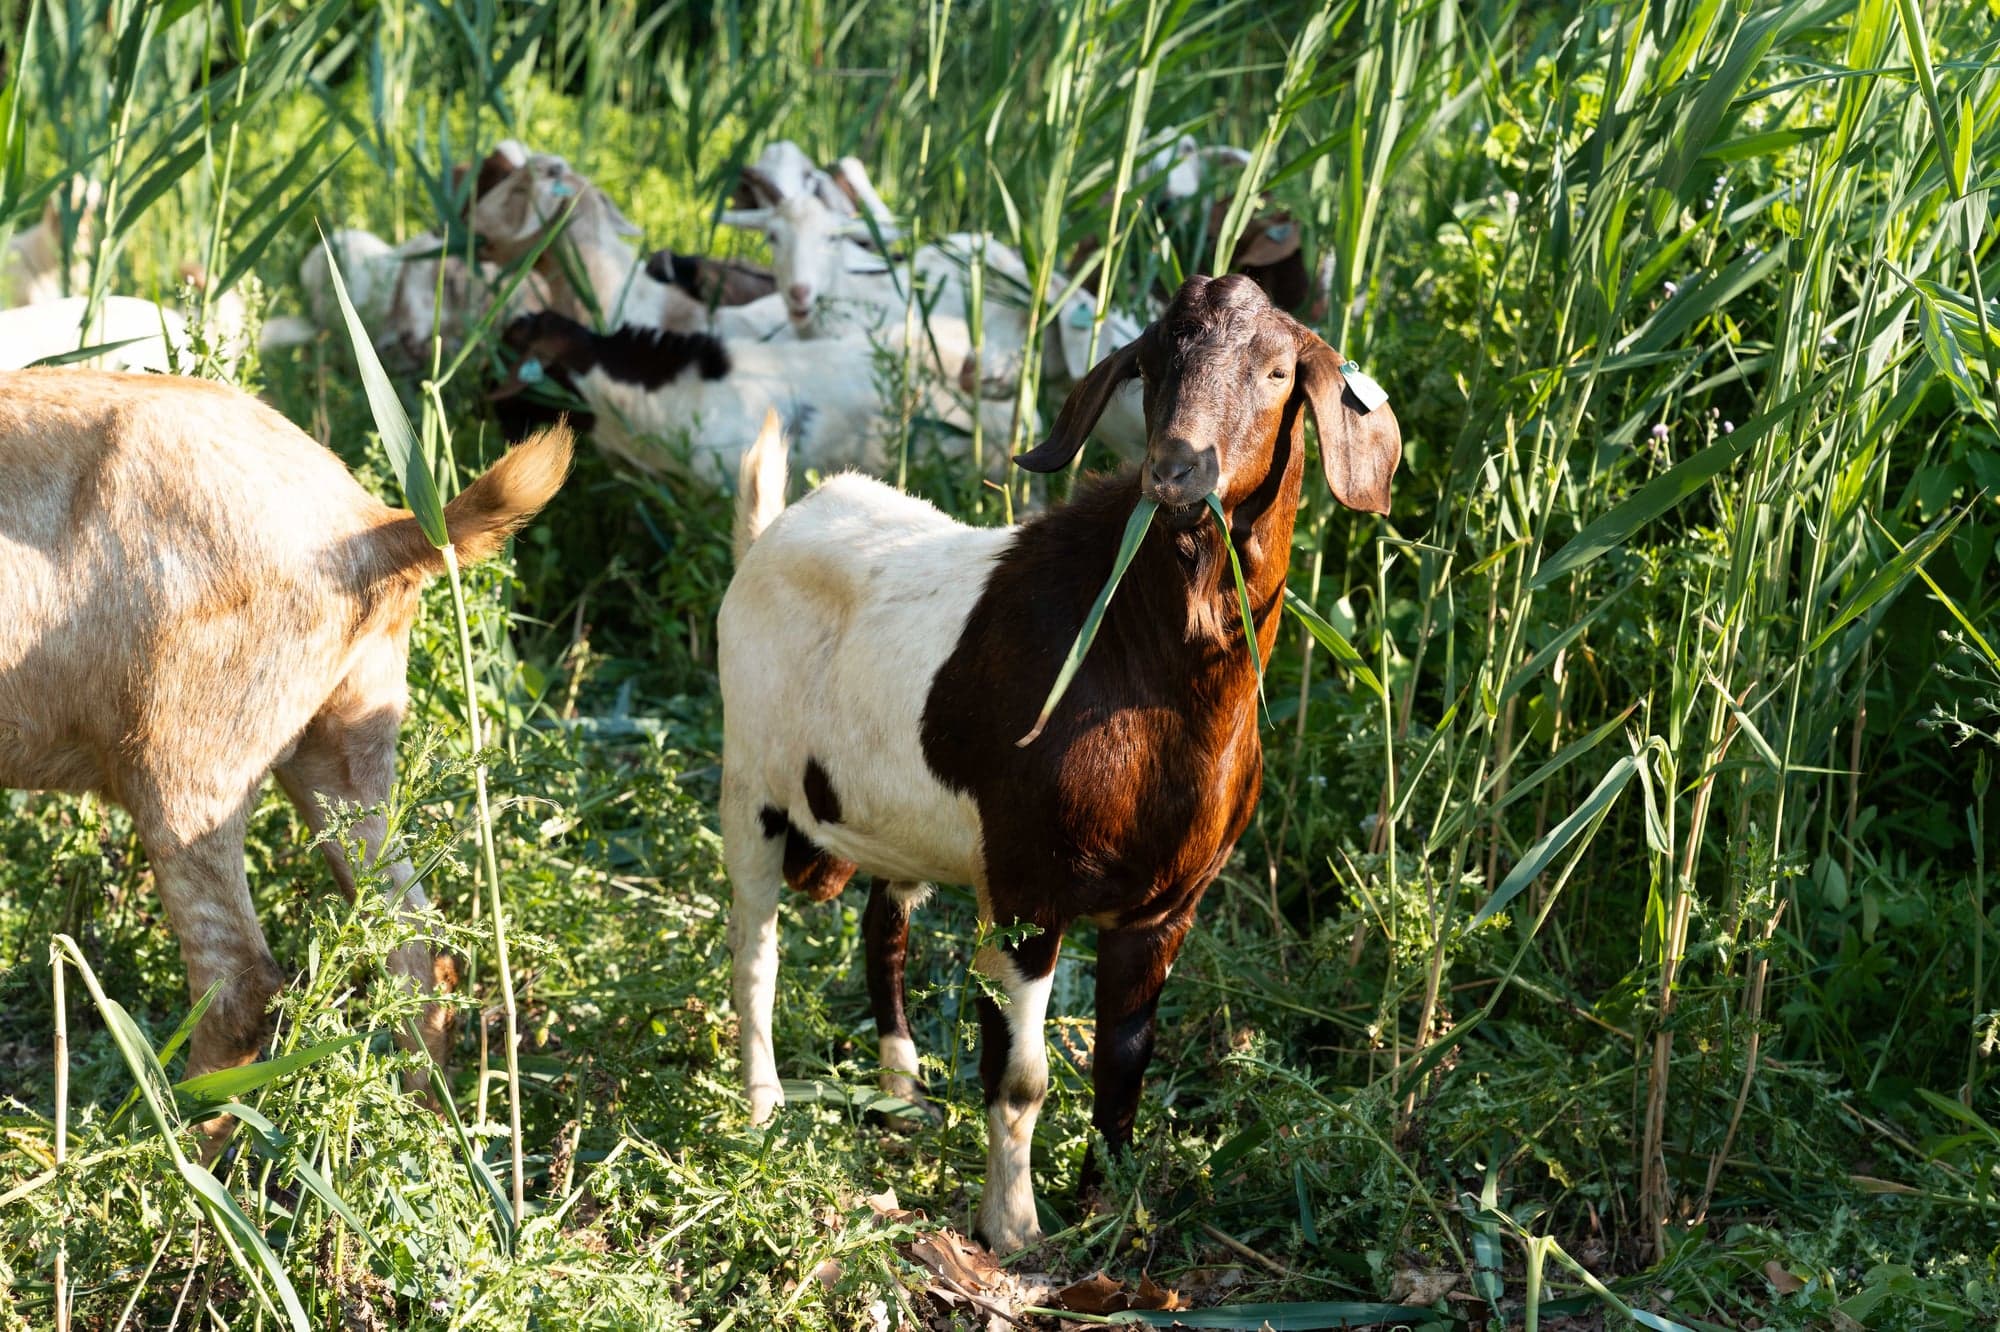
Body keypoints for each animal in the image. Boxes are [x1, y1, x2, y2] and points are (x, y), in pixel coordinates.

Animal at [0, 369, 572, 1153]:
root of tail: (375, 528)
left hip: (186, 761)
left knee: (242, 981)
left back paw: (158, 1155)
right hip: (344, 745)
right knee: (413, 944)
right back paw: (419, 1141)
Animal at [719, 274, 1400, 1251]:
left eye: (1278, 372)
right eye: (1151, 362)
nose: (1177, 471)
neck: (1138, 660)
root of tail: (772, 529)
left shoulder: (1164, 906)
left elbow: (1126, 1062)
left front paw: (1112, 1207)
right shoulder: (1028, 891)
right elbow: (1022, 1074)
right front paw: (1013, 1229)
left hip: (898, 824)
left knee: (883, 927)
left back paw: (903, 1097)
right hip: (750, 786)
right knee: (755, 951)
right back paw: (764, 1108)